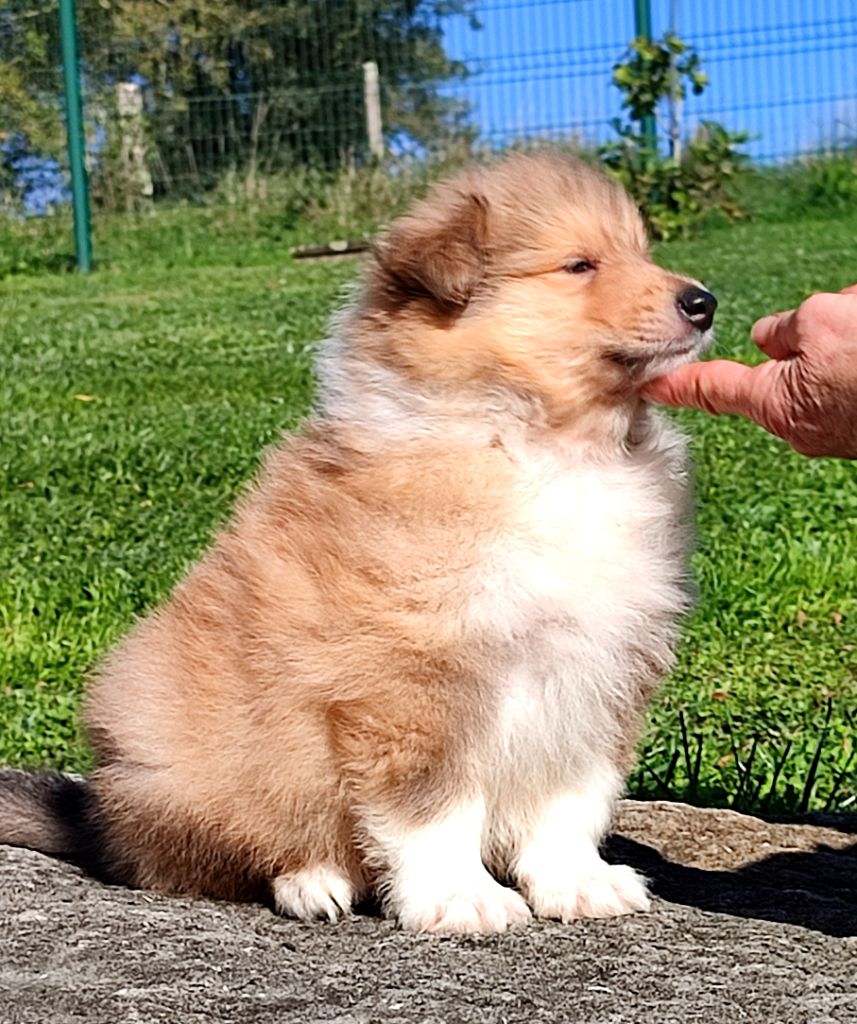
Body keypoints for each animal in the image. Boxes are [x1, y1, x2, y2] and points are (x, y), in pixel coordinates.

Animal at [0, 149, 716, 929]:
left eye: (642, 253)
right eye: (579, 264)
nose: (703, 302)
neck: (554, 448)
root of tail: (94, 811)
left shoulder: (598, 673)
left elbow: (570, 800)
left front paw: (577, 882)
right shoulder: (413, 679)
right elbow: (435, 808)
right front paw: (460, 897)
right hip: (198, 767)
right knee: (203, 858)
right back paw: (311, 882)